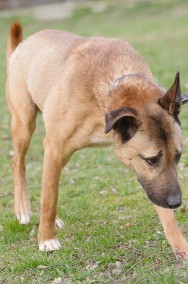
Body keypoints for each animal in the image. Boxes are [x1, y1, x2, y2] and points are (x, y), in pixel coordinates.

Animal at [5, 22, 188, 260]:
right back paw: (23, 209)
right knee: (18, 163)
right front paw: (46, 239)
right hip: (24, 124)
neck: (111, 88)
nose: (176, 202)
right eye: (151, 160)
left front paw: (180, 245)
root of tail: (23, 45)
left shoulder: (154, 183)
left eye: (178, 156)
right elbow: (50, 196)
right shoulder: (54, 147)